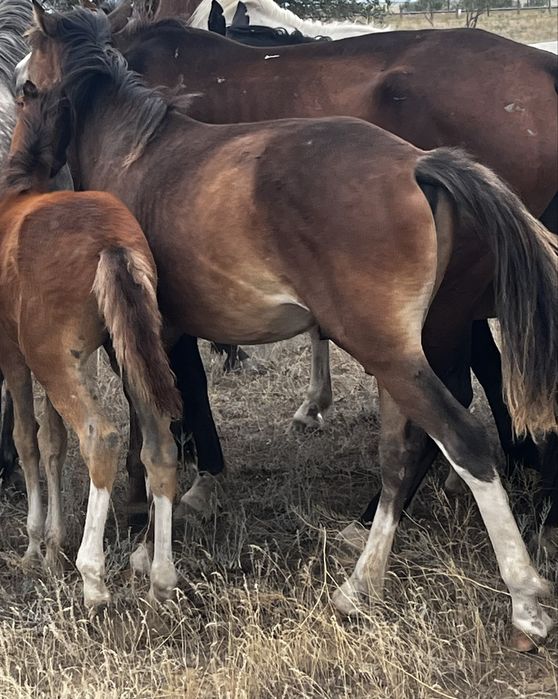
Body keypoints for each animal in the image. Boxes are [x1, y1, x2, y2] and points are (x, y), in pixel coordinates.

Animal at [1, 79, 182, 606]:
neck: (19, 192)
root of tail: (112, 245)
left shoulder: (15, 358)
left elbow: (28, 439)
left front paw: (36, 546)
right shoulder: (83, 361)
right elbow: (53, 442)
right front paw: (52, 545)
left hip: (55, 362)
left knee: (99, 438)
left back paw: (93, 578)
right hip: (130, 359)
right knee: (160, 448)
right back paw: (161, 577)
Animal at [26, 6, 558, 649]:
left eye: (25, 84)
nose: (24, 158)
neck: (135, 151)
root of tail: (418, 163)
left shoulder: (153, 336)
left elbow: (153, 433)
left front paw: (144, 548)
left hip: (395, 350)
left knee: (464, 443)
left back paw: (525, 601)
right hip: (399, 356)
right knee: (401, 453)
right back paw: (360, 584)